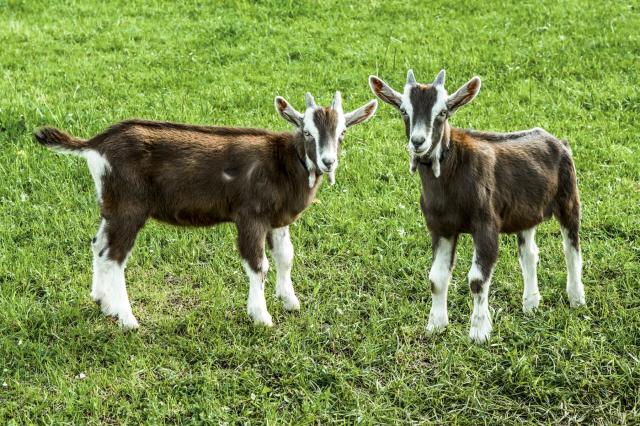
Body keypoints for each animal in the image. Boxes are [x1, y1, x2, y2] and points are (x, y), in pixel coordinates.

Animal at [35, 92, 377, 329]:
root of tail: (96, 144)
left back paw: (102, 302)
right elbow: (259, 265)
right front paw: (261, 316)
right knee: (114, 257)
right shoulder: (250, 216)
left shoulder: (278, 220)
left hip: (110, 205)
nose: (328, 162)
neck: (283, 162)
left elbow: (286, 257)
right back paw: (127, 319)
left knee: (98, 245)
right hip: (129, 208)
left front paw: (291, 301)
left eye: (342, 133)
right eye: (307, 132)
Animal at [369, 69, 584, 343]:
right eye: (404, 111)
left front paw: (479, 332)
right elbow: (436, 278)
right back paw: (531, 304)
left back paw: (576, 298)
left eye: (443, 112)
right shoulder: (440, 228)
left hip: (569, 198)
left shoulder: (486, 225)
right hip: (525, 213)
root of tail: (559, 142)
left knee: (571, 248)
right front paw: (436, 325)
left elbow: (477, 280)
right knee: (529, 254)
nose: (418, 142)